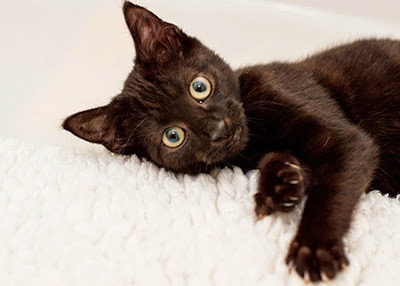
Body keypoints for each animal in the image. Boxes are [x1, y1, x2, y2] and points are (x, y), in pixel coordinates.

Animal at [62, 1, 400, 282]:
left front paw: (315, 247)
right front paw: (280, 184)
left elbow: (331, 188)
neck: (255, 140)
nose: (217, 130)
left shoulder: (344, 139)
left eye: (199, 87)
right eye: (173, 136)